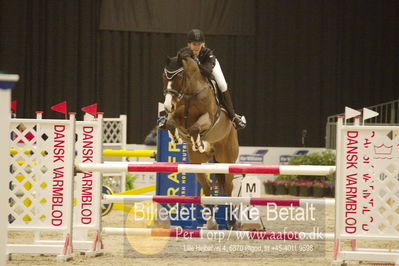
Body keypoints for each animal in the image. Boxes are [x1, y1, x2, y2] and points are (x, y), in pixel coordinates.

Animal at [161, 51, 239, 198]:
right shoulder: (176, 117)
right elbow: (171, 123)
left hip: (226, 158)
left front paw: (197, 142)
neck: (189, 94)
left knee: (228, 187)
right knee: (206, 187)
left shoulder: (209, 119)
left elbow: (195, 128)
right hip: (197, 162)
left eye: (180, 76)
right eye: (164, 76)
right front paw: (175, 138)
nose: (168, 106)